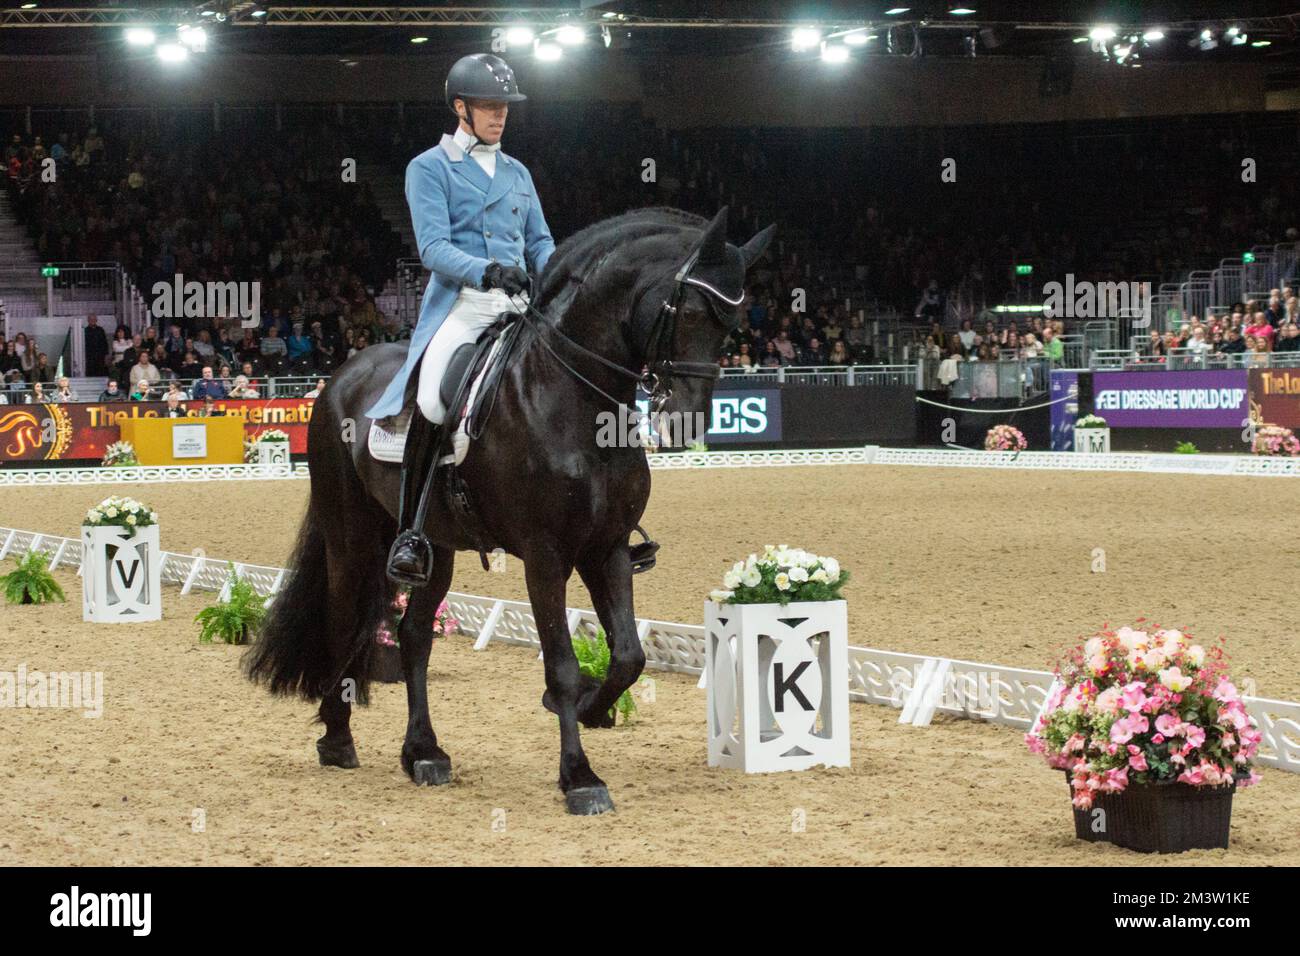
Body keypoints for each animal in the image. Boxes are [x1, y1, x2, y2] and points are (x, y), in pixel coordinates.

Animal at [243, 208, 769, 816]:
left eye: (733, 321)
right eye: (687, 309)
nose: (688, 421)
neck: (572, 398)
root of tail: (338, 378)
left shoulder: (607, 548)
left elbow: (628, 655)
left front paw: (592, 709)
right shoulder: (545, 556)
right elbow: (561, 665)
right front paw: (579, 777)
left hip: (434, 546)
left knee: (413, 634)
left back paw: (423, 753)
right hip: (353, 538)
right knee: (343, 617)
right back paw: (337, 736)